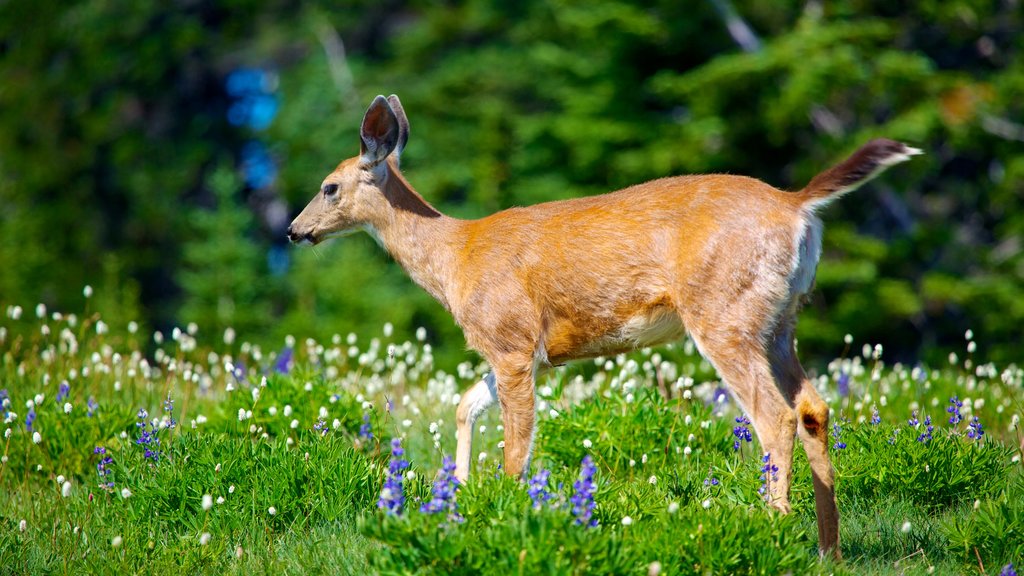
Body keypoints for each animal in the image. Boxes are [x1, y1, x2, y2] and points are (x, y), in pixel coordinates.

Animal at [286, 94, 921, 557]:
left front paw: (504, 516)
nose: (294, 230)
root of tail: (797, 205)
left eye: (329, 186)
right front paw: (457, 492)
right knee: (814, 407)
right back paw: (828, 549)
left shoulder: (511, 340)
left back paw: (774, 530)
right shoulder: (523, 352)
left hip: (722, 311)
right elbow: (465, 406)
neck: (455, 259)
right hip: (780, 319)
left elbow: (516, 451)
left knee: (774, 415)